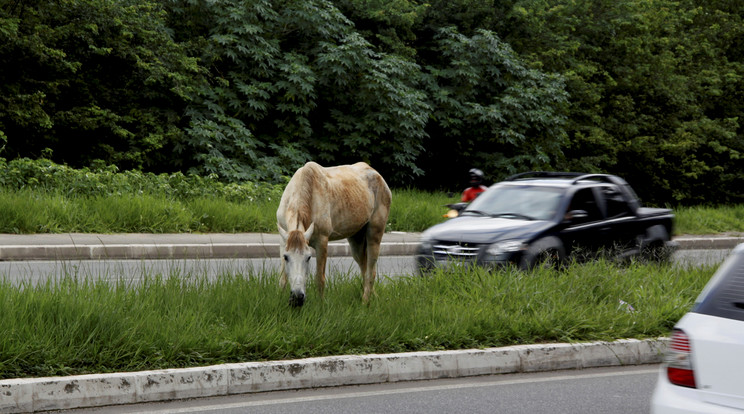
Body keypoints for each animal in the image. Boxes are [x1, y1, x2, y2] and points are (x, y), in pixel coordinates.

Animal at [276, 162, 392, 308]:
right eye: (286, 257)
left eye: (308, 257)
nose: (297, 298)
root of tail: (379, 176)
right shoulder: (282, 241)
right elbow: (282, 279)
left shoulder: (322, 241)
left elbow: (320, 279)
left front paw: (320, 306)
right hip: (356, 240)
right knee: (364, 269)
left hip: (374, 234)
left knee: (371, 271)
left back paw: (365, 303)